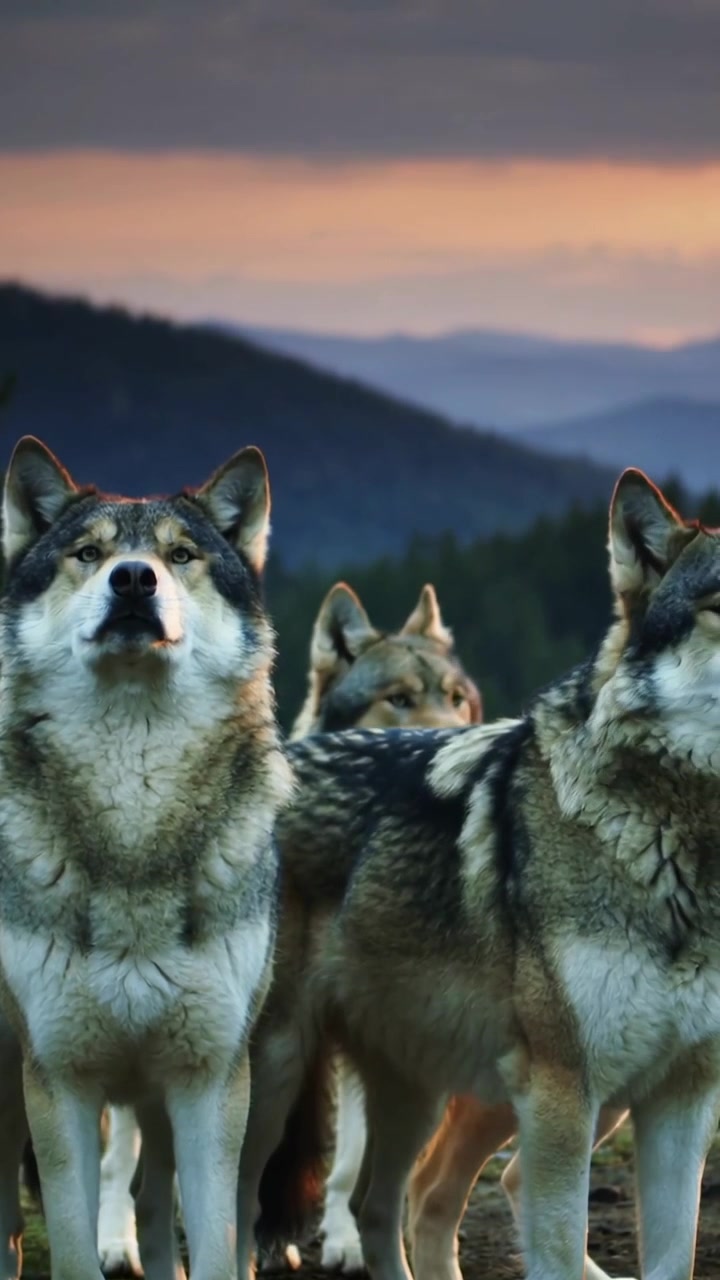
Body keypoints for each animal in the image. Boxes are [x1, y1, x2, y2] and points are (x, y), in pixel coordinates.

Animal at [0, 436, 293, 1280]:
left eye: (181, 555)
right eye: (89, 554)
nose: (134, 578)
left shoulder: (208, 1082)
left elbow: (215, 1244)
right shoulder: (59, 1081)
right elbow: (69, 1244)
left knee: (158, 1208)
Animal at [234, 466, 720, 1280]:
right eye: (719, 604)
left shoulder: (683, 1098)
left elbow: (673, 1257)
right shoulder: (562, 1093)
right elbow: (556, 1249)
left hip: (421, 1087)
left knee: (380, 1204)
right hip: (271, 1077)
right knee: (228, 1209)